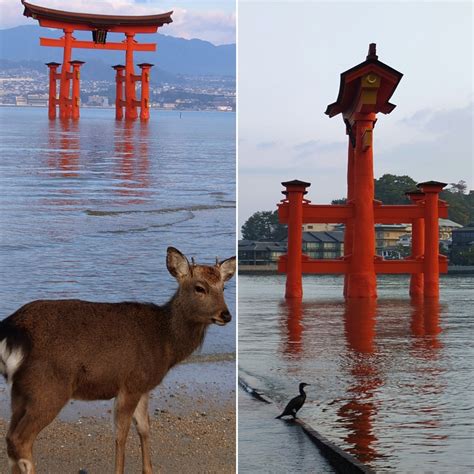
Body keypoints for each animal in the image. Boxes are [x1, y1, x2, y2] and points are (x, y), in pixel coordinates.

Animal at [0, 248, 236, 474]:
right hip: (49, 387)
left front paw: (148, 470)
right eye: (200, 288)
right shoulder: (130, 383)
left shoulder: (143, 386)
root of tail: (10, 331)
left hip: (21, 391)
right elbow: (121, 434)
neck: (165, 342)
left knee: (10, 438)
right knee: (20, 439)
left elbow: (144, 427)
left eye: (223, 288)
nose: (226, 315)